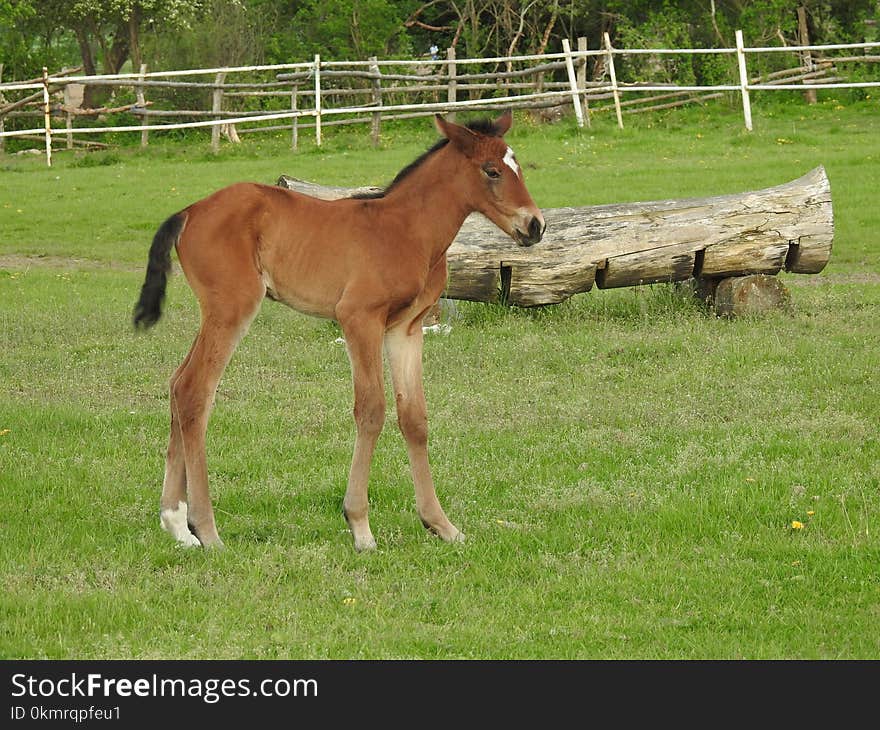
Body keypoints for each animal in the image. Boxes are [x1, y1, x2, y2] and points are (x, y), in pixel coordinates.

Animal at [132, 111, 544, 548]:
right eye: (492, 170)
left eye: (517, 166)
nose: (535, 225)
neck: (407, 229)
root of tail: (189, 211)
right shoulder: (359, 319)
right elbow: (372, 410)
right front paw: (360, 527)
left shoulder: (407, 328)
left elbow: (414, 418)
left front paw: (441, 524)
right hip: (232, 308)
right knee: (195, 390)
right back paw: (207, 530)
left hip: (217, 313)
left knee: (178, 385)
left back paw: (177, 524)